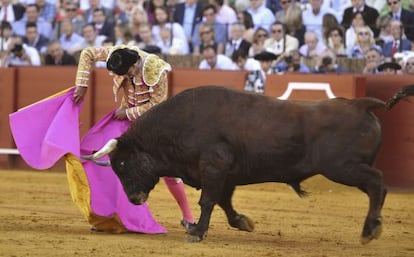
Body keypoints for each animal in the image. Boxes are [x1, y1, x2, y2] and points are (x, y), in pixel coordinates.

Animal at [82, 85, 414, 243]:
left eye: (122, 163)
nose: (134, 199)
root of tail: (361, 104)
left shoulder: (214, 166)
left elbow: (208, 201)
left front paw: (196, 232)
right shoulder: (224, 173)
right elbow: (224, 203)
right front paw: (243, 222)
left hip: (343, 167)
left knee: (377, 183)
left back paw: (370, 230)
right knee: (377, 186)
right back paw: (372, 227)